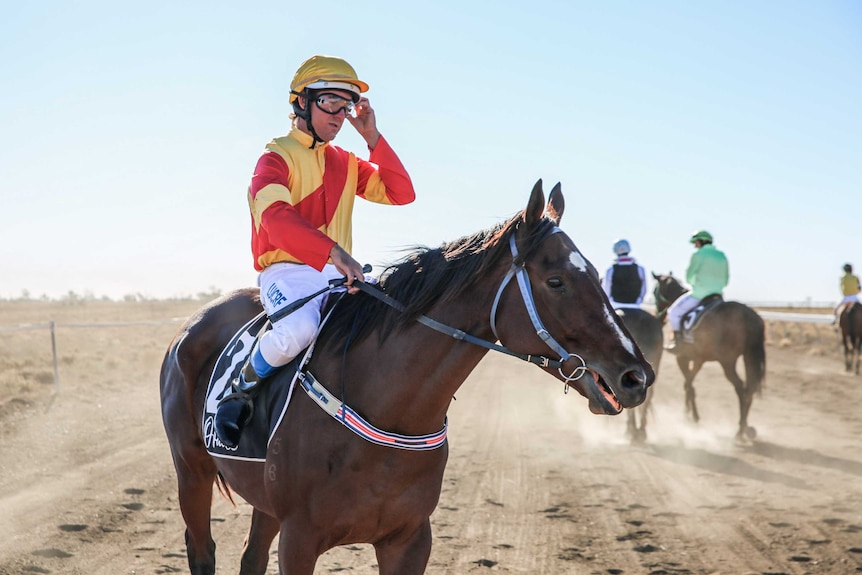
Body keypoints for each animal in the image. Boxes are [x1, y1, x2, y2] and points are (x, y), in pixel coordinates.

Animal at [159, 181, 656, 575]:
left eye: (596, 276)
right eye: (556, 281)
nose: (637, 375)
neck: (387, 410)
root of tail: (193, 324)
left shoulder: (410, 539)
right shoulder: (299, 540)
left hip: (264, 501)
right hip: (192, 470)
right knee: (201, 549)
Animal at [652, 274, 768, 440]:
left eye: (654, 290)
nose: (657, 315)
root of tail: (748, 315)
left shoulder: (682, 358)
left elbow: (688, 385)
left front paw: (692, 416)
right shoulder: (698, 360)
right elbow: (689, 384)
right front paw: (688, 413)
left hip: (728, 362)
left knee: (740, 388)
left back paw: (740, 430)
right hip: (749, 357)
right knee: (750, 388)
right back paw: (747, 428)